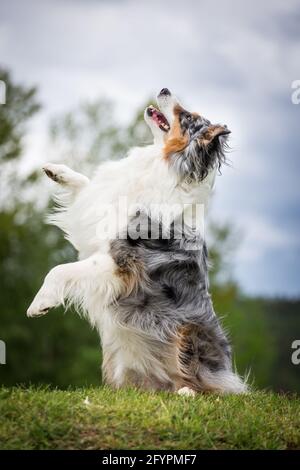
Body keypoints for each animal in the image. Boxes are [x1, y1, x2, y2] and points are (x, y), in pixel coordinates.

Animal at [27, 89, 246, 396]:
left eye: (186, 116)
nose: (164, 89)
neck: (161, 164)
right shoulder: (100, 210)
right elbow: (87, 186)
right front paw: (56, 170)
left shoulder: (122, 262)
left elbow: (59, 270)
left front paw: (41, 303)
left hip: (187, 333)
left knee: (202, 384)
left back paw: (186, 392)